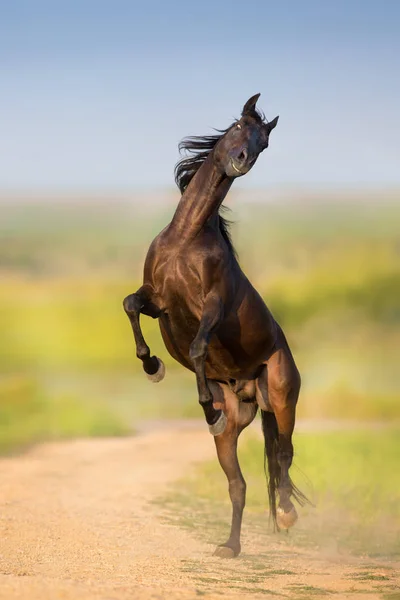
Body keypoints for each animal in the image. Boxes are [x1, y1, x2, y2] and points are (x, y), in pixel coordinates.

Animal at [123, 94, 308, 556]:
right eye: (239, 127)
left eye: (264, 142)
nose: (242, 160)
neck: (186, 238)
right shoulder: (159, 301)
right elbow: (130, 305)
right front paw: (152, 366)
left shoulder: (211, 307)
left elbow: (198, 347)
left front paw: (204, 404)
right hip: (235, 430)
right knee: (238, 483)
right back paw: (230, 546)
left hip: (283, 399)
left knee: (284, 455)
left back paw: (285, 514)